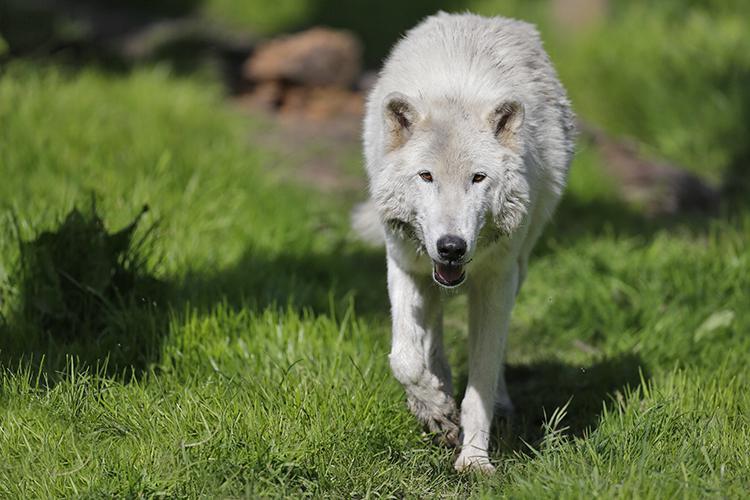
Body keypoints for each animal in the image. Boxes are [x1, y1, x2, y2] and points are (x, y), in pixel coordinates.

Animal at [355, 12, 576, 472]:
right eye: (426, 176)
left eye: (478, 178)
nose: (451, 247)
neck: (455, 96)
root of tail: (483, 16)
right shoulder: (402, 263)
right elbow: (404, 359)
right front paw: (435, 409)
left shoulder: (496, 280)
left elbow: (483, 378)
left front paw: (475, 460)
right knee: (431, 333)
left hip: (519, 267)